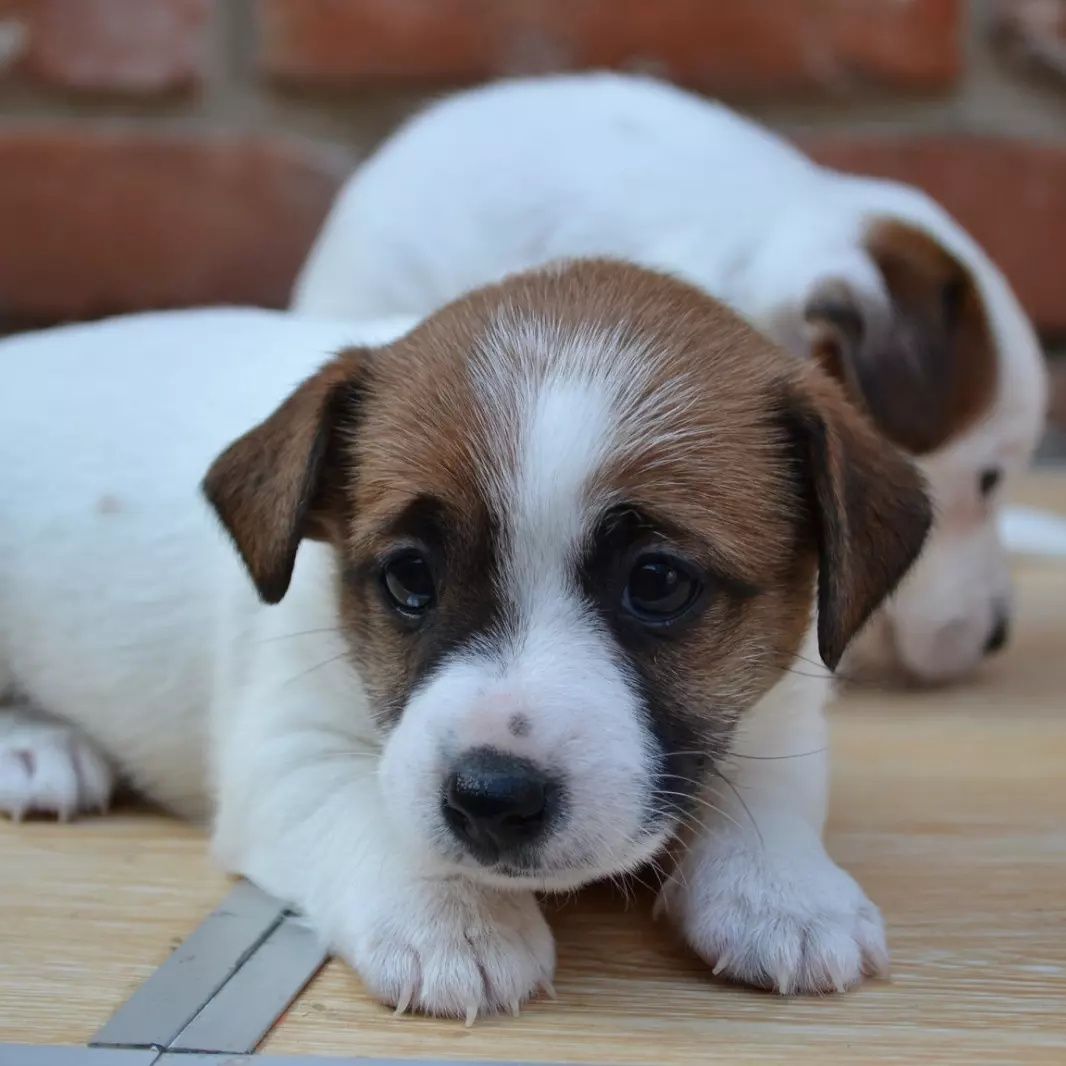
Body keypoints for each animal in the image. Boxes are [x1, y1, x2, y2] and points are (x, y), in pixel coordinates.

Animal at [0, 257, 929, 1014]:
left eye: (658, 582)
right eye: (410, 576)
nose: (492, 798)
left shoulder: (783, 713)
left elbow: (765, 793)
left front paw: (784, 892)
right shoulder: (284, 752)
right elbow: (370, 809)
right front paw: (454, 913)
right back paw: (34, 748)